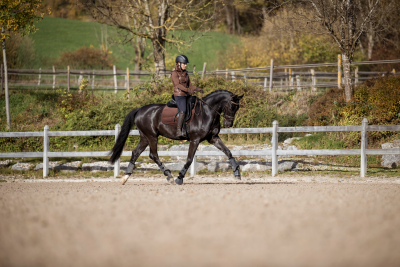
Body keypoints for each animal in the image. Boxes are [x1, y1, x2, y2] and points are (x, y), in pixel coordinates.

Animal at [108, 90, 244, 186]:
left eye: (237, 108)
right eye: (231, 106)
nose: (228, 124)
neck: (206, 112)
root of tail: (140, 110)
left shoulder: (213, 138)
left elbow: (228, 152)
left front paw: (237, 173)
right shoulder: (195, 140)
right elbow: (189, 159)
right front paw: (179, 178)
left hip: (145, 137)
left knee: (136, 153)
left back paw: (125, 177)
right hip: (152, 137)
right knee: (153, 155)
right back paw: (169, 176)